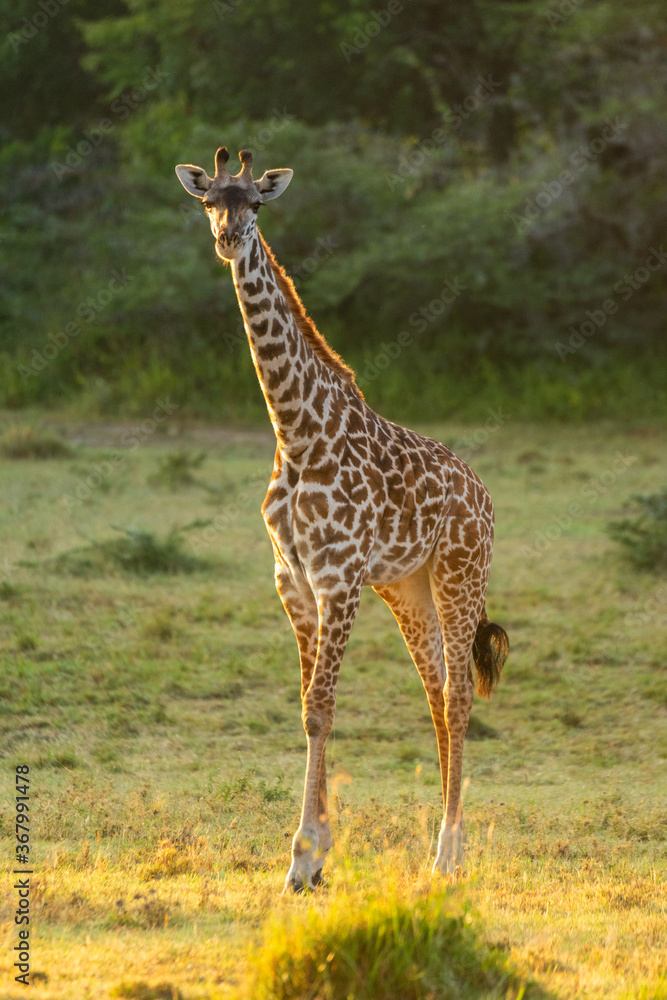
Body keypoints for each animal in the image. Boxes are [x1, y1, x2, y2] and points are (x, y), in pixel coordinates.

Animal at [176, 147, 509, 892]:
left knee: (458, 699)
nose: (228, 239)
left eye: (256, 203)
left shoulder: (340, 579)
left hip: (458, 577)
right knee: (436, 691)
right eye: (208, 200)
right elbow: (309, 707)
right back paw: (441, 845)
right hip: (406, 587)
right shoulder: (293, 581)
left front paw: (303, 856)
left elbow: (320, 707)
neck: (297, 433)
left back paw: (448, 856)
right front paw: (315, 855)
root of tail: (482, 495)